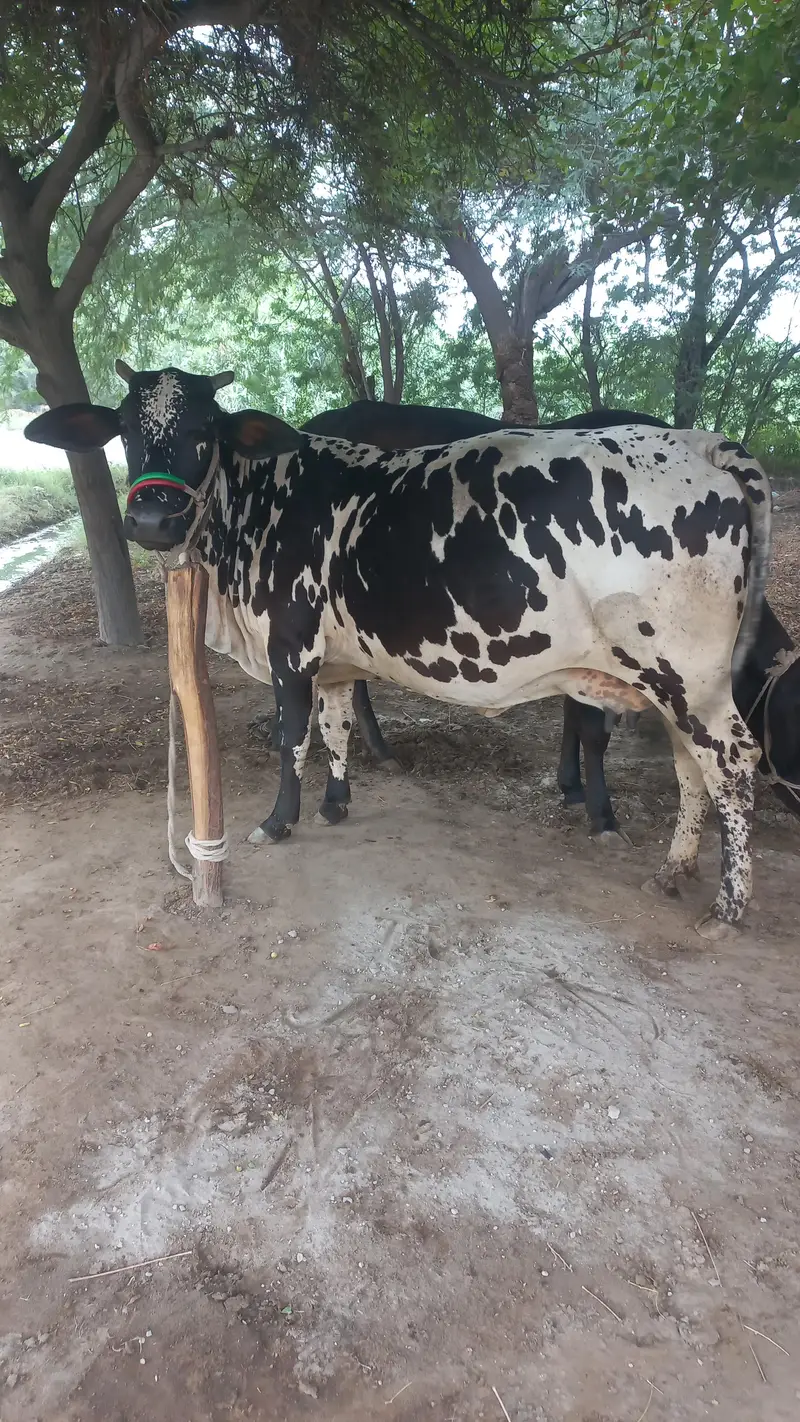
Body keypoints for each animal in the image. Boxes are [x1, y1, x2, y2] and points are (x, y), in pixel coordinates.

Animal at [26, 364, 772, 940]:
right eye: (126, 431)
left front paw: (279, 821)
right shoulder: (333, 660)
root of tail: (701, 442)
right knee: (691, 767)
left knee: (732, 765)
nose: (151, 518)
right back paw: (674, 869)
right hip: (671, 683)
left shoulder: (290, 649)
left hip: (687, 676)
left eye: (203, 433)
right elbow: (335, 726)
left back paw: (728, 907)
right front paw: (335, 803)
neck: (261, 505)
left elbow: (293, 736)